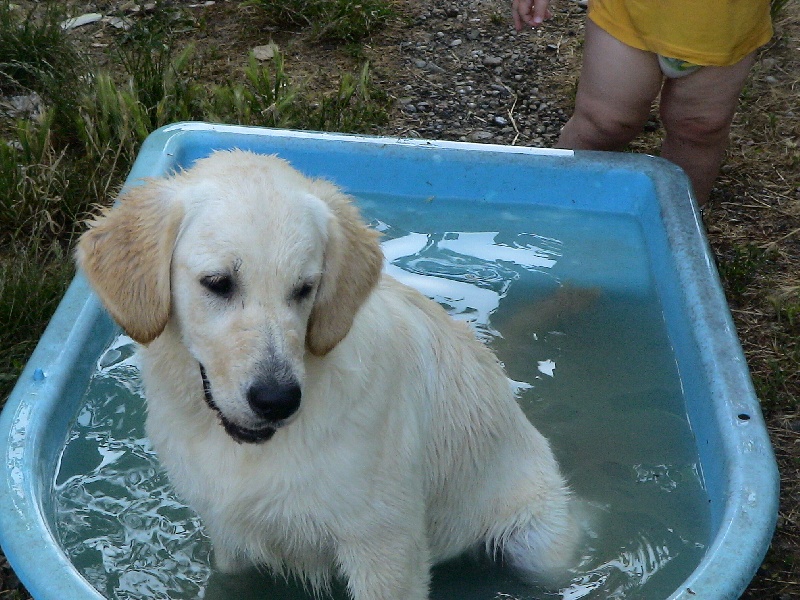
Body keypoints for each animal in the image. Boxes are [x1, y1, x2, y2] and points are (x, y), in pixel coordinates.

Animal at [78, 151, 580, 600]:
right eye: (218, 283)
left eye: (305, 288)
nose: (277, 400)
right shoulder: (229, 538)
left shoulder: (385, 550)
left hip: (538, 544)